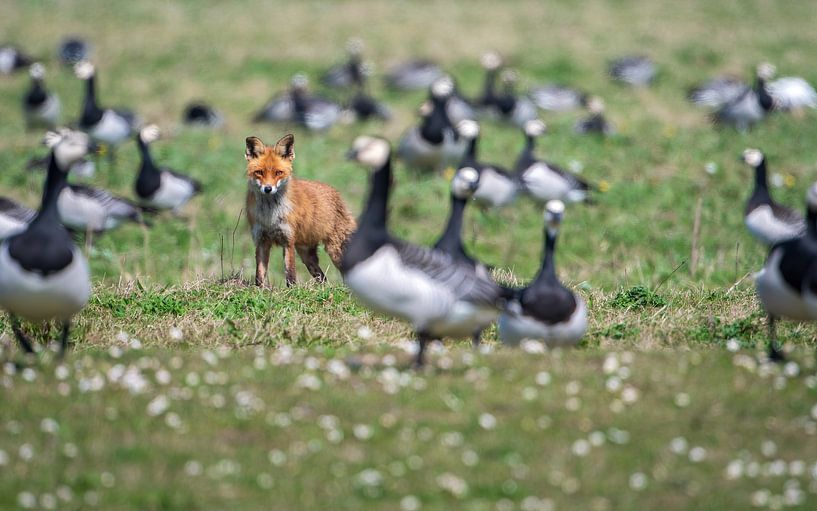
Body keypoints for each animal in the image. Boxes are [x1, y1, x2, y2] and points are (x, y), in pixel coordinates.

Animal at [245, 134, 356, 287]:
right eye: (259, 172)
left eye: (278, 173)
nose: (268, 189)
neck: (270, 216)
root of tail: (336, 193)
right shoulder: (261, 240)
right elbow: (260, 273)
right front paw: (260, 289)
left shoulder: (288, 240)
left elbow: (290, 272)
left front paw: (292, 289)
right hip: (306, 255)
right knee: (323, 278)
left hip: (335, 250)